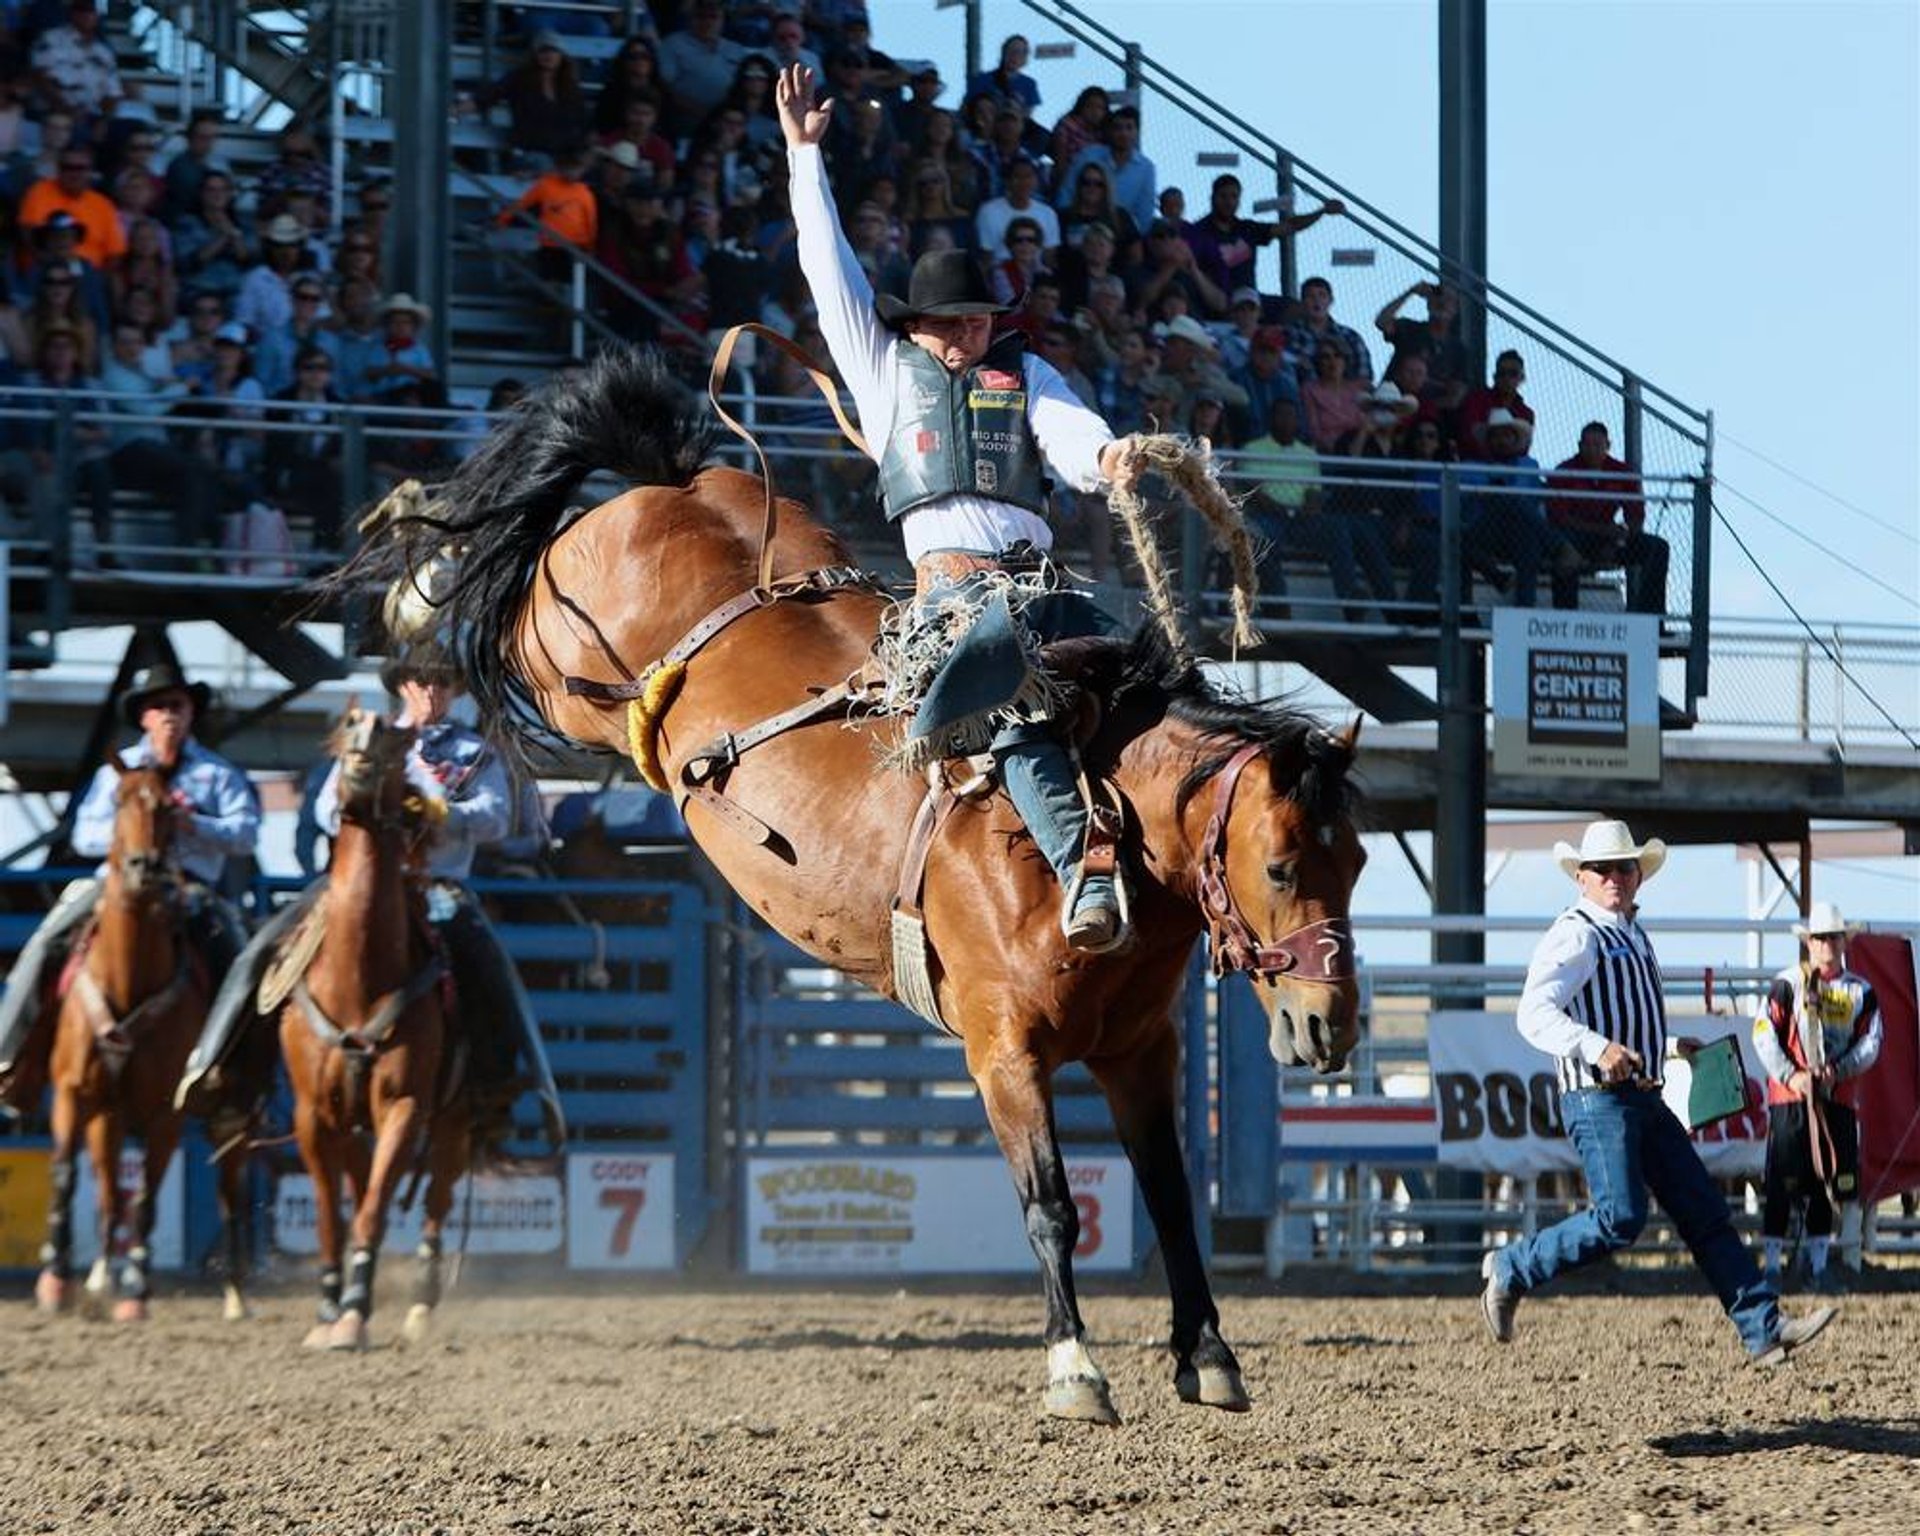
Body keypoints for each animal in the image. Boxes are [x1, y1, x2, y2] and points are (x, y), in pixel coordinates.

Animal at [36, 756, 219, 1320]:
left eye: (169, 807)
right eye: (118, 801)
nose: (145, 866)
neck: (127, 979)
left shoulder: (164, 1113)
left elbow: (147, 1198)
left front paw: (137, 1289)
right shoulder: (73, 1094)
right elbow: (65, 1175)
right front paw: (54, 1279)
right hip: (104, 1117)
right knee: (106, 1189)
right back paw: (95, 1277)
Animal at [280, 706, 470, 1344]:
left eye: (393, 740)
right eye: (348, 728)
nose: (364, 743)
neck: (358, 978)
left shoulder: (404, 1106)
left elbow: (373, 1210)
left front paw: (355, 1310)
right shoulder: (312, 1115)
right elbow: (328, 1214)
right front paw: (327, 1305)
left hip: (456, 1120)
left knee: (437, 1198)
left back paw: (421, 1303)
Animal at [349, 345, 1367, 1413]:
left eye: (1358, 862)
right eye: (1281, 865)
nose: (1328, 1024)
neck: (1093, 823)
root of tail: (671, 487)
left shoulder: (1139, 1051)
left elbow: (1170, 1199)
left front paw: (1206, 1352)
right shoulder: (1003, 1051)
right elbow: (1050, 1206)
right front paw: (1075, 1367)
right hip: (559, 662)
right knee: (496, 578)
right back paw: (411, 572)